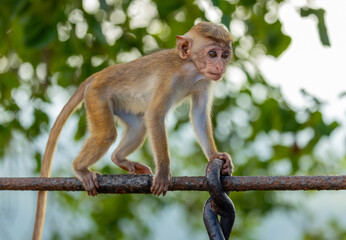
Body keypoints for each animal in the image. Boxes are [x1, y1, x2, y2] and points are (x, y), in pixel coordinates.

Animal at [32, 21, 234, 239]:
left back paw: (119, 159)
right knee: (107, 134)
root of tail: (95, 76)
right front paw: (163, 172)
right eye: (212, 53)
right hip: (96, 96)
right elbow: (154, 115)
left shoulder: (204, 81)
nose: (220, 66)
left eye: (224, 55)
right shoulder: (168, 79)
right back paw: (80, 168)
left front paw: (215, 156)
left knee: (139, 126)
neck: (190, 68)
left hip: (120, 104)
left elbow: (198, 116)